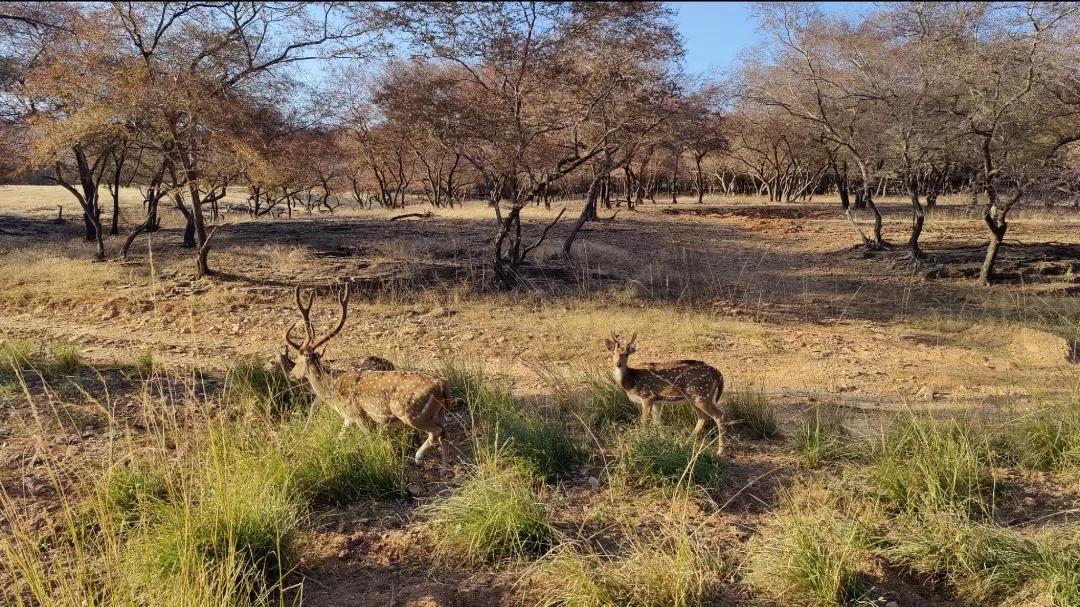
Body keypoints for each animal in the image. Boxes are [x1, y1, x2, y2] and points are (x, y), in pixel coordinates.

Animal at [282, 282, 451, 468]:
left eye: (297, 360)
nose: (291, 375)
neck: (331, 387)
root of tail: (442, 385)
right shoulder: (348, 418)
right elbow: (339, 438)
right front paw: (334, 451)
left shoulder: (359, 414)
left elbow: (369, 439)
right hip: (437, 413)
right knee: (444, 433)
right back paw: (443, 467)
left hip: (412, 413)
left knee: (436, 433)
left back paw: (418, 457)